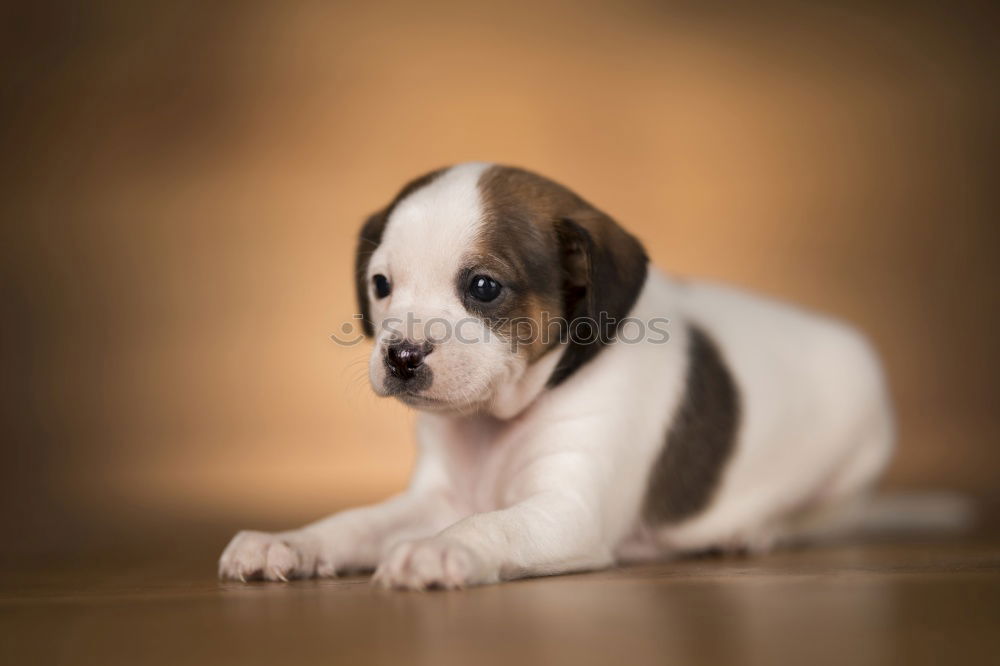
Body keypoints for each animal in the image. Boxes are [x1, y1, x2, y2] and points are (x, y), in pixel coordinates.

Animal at [221, 161, 900, 588]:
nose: (402, 356)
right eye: (381, 285)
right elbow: (355, 523)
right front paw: (291, 541)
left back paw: (753, 532)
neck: (495, 422)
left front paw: (442, 547)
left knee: (825, 516)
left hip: (854, 462)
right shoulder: (435, 496)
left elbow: (492, 523)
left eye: (483, 287)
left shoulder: (568, 512)